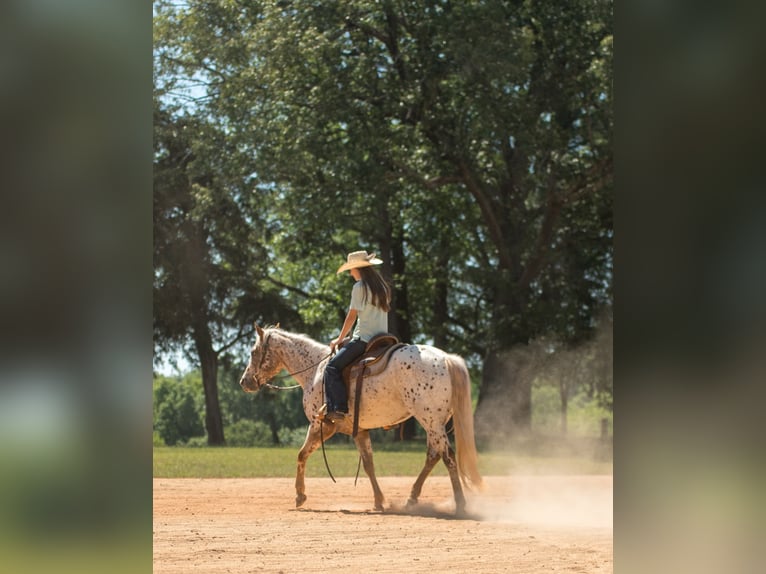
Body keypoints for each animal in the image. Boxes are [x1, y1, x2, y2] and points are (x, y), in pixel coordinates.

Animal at [239, 323, 483, 516]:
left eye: (253, 351)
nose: (244, 381)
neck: (316, 370)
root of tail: (446, 358)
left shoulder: (321, 425)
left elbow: (301, 454)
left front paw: (300, 495)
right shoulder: (360, 430)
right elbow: (368, 464)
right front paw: (379, 501)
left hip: (431, 422)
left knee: (448, 457)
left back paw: (460, 504)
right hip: (434, 423)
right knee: (433, 456)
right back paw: (411, 499)